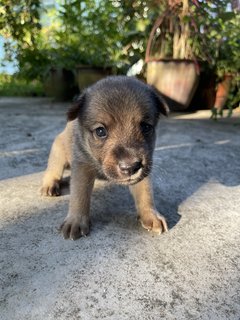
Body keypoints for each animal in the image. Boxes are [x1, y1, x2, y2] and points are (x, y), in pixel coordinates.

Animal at [40, 76, 169, 239]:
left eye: (146, 127)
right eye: (100, 131)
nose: (130, 167)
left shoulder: (144, 171)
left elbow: (145, 192)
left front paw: (150, 215)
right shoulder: (82, 166)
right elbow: (79, 195)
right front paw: (76, 220)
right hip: (58, 153)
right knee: (52, 171)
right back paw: (50, 184)